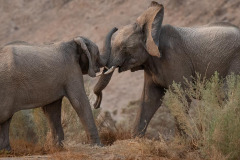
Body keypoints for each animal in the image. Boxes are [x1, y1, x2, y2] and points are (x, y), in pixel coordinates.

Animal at [93, 1, 240, 138]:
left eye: (124, 47)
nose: (96, 104)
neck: (153, 32)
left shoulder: (175, 59)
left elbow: (182, 98)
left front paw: (184, 142)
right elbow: (149, 99)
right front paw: (135, 139)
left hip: (235, 64)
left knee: (227, 95)